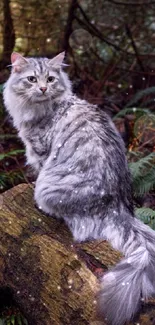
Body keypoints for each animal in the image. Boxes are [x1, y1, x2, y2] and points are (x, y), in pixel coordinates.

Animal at [3, 52, 155, 324]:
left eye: (50, 79)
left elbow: (38, 169)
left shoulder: (41, 152)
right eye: (31, 79)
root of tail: (117, 208)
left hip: (49, 189)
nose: (43, 89)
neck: (40, 109)